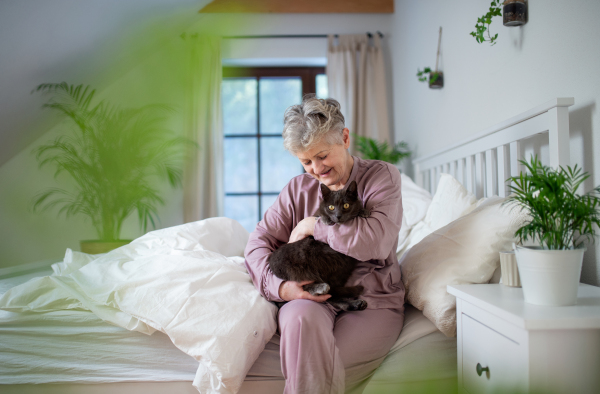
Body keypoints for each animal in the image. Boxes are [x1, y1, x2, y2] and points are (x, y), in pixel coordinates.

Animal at [268, 180, 370, 312]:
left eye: (346, 205)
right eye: (331, 207)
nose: (338, 216)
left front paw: (364, 211)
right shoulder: (317, 214)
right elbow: (320, 216)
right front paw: (326, 219)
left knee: (333, 297)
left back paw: (355, 303)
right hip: (290, 261)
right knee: (303, 285)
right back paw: (321, 288)